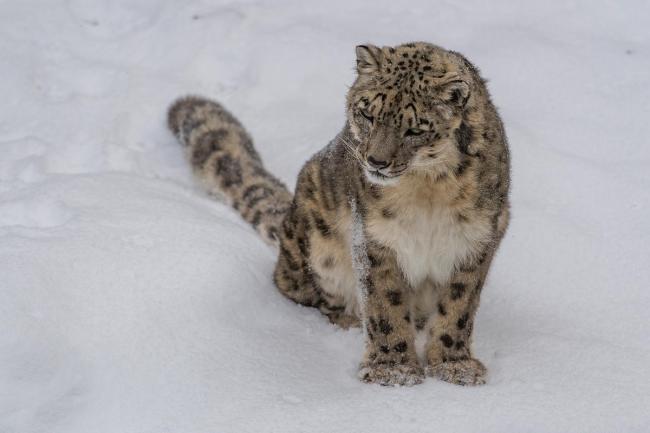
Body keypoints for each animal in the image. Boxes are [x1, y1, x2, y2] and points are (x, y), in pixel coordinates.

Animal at [166, 41, 506, 384]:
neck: (427, 190)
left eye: (414, 130)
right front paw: (393, 369)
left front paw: (454, 365)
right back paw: (349, 322)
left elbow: (459, 305)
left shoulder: (475, 240)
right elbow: (385, 303)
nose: (376, 161)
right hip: (320, 250)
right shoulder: (373, 239)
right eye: (367, 113)